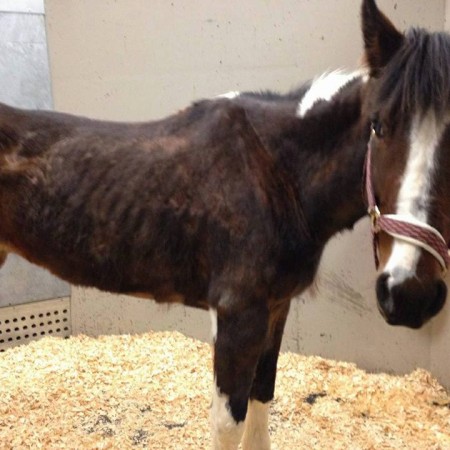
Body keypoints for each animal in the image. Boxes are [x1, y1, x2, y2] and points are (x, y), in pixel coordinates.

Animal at [0, 1, 448, 448]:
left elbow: (261, 399)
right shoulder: (238, 315)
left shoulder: (276, 309)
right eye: (377, 126)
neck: (275, 173)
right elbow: (229, 421)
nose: (410, 294)